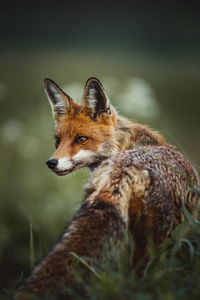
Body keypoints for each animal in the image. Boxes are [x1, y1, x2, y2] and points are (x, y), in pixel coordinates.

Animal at [16, 77, 198, 298]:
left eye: (81, 139)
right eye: (57, 141)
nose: (51, 163)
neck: (127, 145)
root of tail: (125, 170)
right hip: (153, 243)